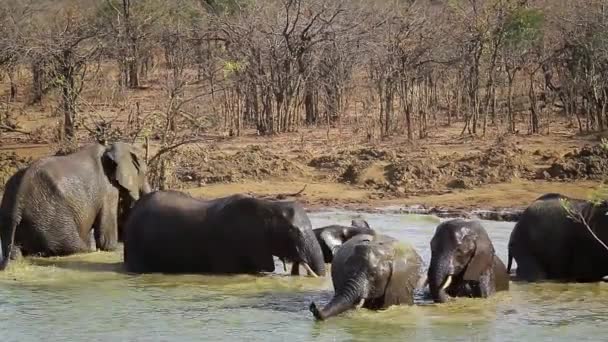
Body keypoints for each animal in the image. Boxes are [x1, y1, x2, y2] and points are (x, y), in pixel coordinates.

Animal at [0, 142, 151, 270]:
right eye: (144, 173)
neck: (109, 149)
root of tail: (19, 199)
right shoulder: (107, 190)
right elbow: (106, 240)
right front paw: (111, 248)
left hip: (12, 218)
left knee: (15, 252)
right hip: (49, 216)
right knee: (75, 247)